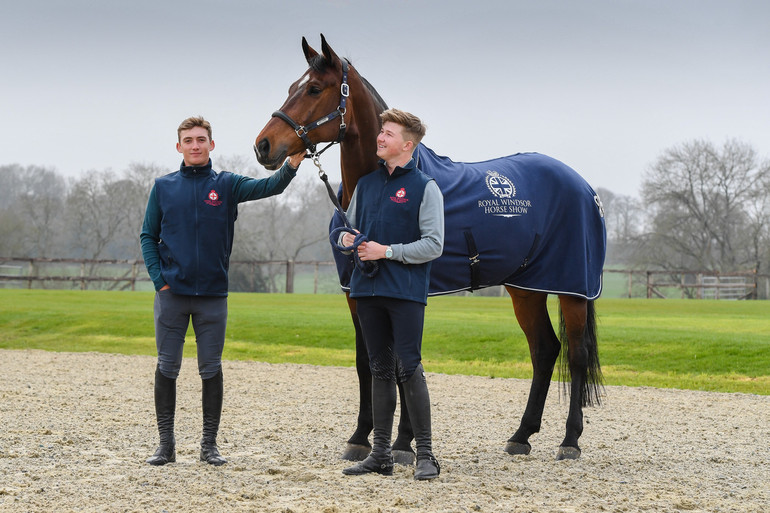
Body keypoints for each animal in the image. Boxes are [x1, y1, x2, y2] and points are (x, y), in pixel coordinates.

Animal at [255, 36, 604, 460]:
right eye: (293, 86)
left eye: (314, 89)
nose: (263, 146)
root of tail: (584, 187)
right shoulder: (357, 293)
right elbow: (366, 361)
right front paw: (361, 438)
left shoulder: (407, 293)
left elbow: (403, 361)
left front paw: (403, 442)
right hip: (526, 288)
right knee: (544, 350)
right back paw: (521, 436)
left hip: (573, 288)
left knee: (576, 353)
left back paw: (569, 441)